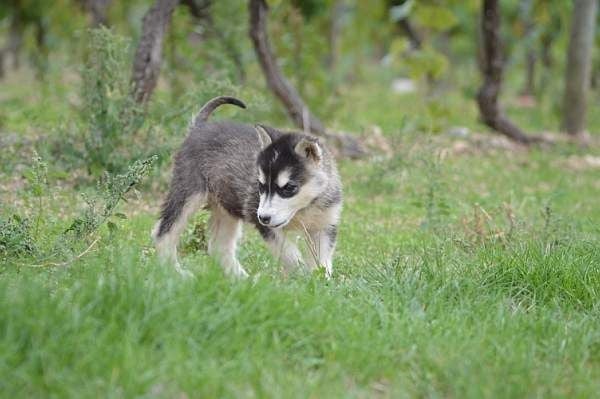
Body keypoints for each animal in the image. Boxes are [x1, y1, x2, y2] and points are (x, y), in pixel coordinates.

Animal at [152, 97, 342, 278]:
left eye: (289, 188)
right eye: (261, 185)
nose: (263, 217)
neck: (304, 208)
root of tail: (199, 126)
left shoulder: (324, 227)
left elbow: (321, 261)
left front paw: (319, 281)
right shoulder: (266, 225)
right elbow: (289, 254)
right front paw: (301, 275)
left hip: (226, 207)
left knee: (219, 246)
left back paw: (242, 280)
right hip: (188, 193)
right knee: (163, 232)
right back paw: (175, 272)